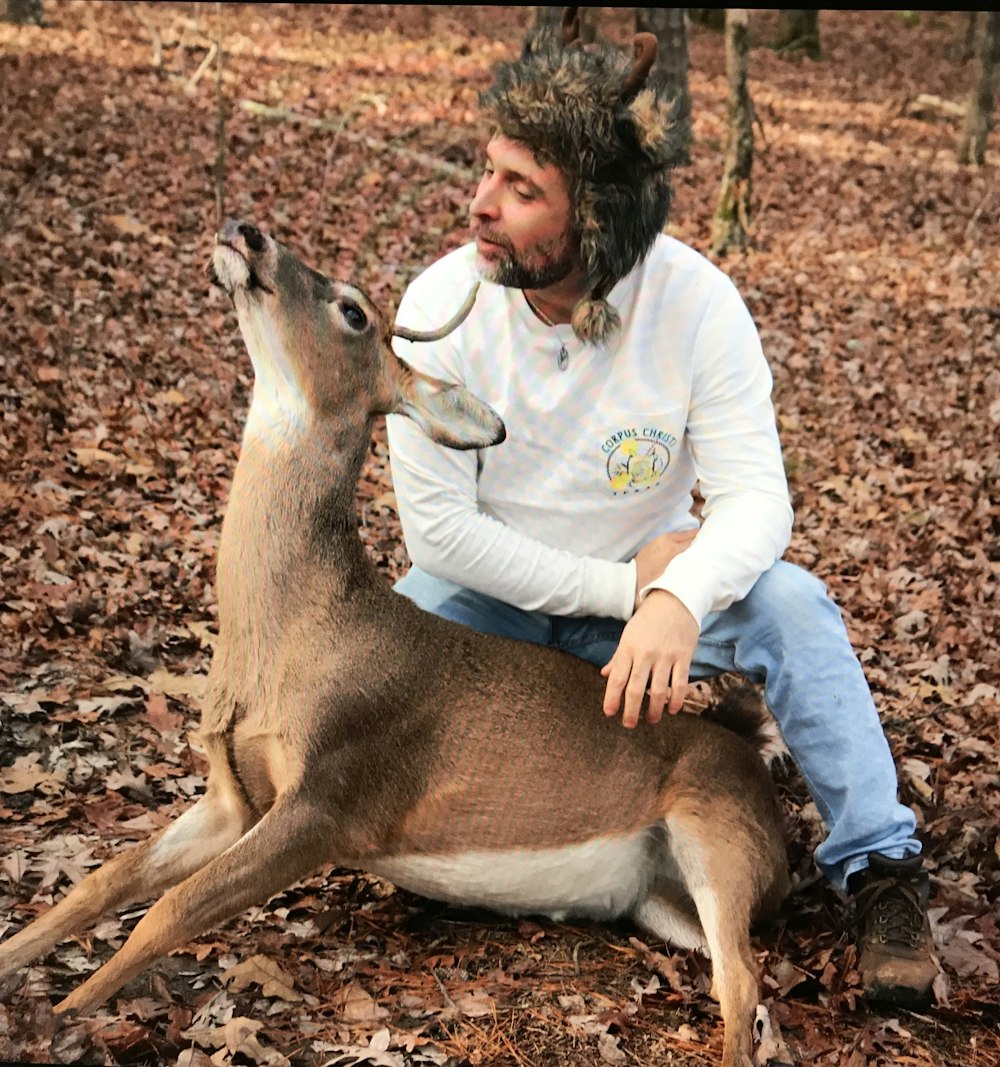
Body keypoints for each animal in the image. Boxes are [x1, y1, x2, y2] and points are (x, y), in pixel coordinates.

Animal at [0, 220, 789, 1062]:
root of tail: (758, 770)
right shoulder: (232, 795)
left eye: (352, 309)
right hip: (662, 901)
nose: (248, 232)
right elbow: (102, 881)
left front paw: (56, 1018)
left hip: (717, 829)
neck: (287, 639)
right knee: (740, 980)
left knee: (744, 983)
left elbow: (169, 909)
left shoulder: (332, 794)